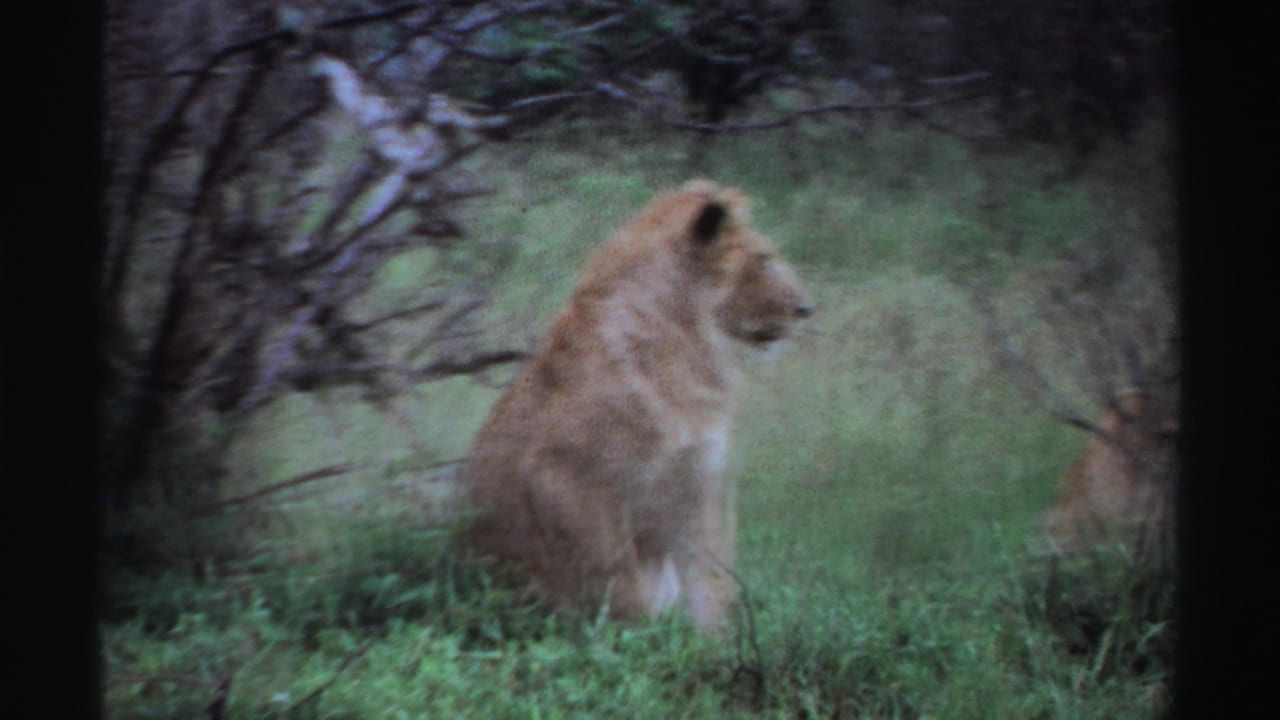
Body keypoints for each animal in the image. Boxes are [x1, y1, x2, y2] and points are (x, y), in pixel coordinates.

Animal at [464, 180, 813, 632]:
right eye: (763, 257)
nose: (806, 308)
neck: (687, 344)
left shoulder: (702, 483)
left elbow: (710, 583)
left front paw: (710, 644)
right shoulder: (571, 482)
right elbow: (621, 584)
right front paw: (641, 640)